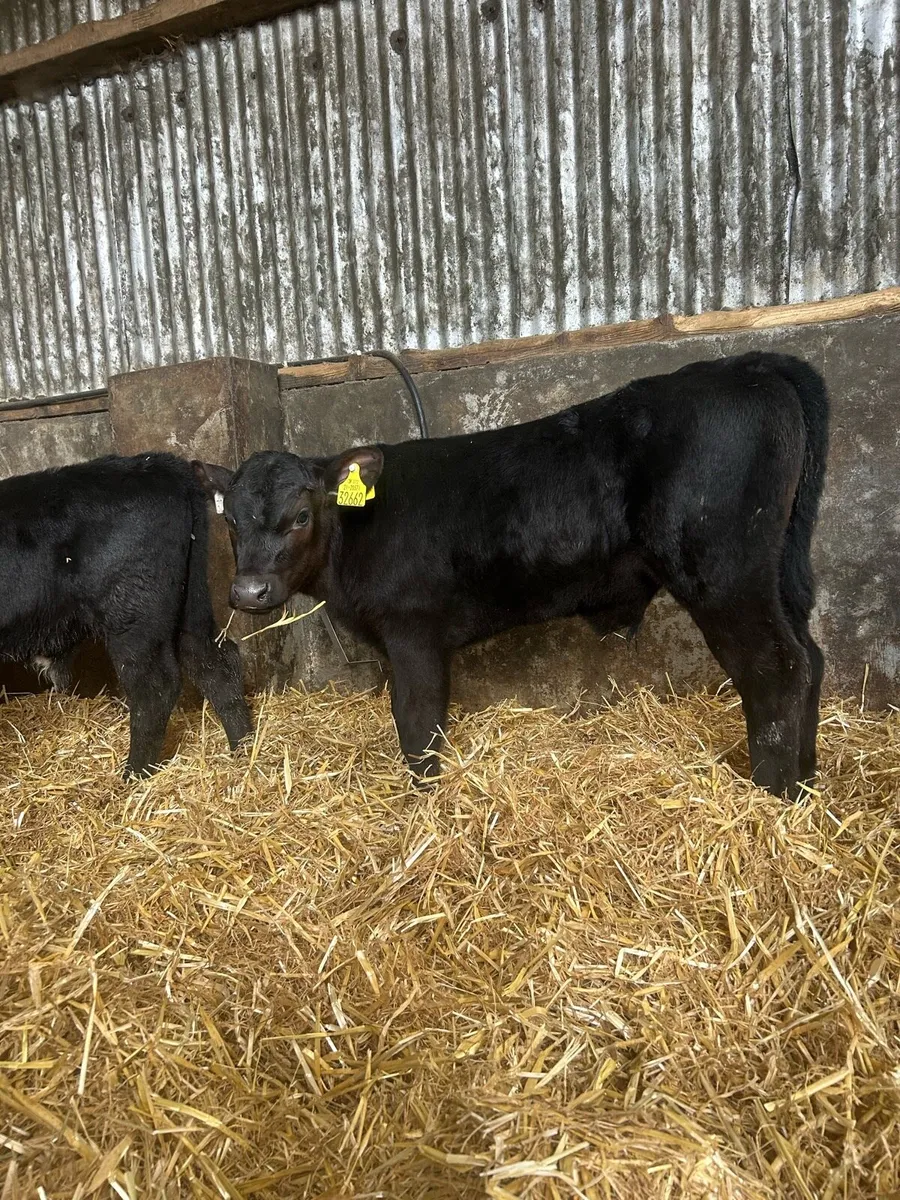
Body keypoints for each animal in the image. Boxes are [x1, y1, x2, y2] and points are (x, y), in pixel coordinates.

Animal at [0, 452, 253, 777]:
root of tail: (159, 465)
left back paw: (135, 773)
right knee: (213, 661)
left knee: (153, 685)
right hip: (191, 598)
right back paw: (243, 747)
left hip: (133, 611)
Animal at [195, 353, 829, 800]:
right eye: (230, 519)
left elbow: (417, 721)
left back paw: (771, 795)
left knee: (775, 669)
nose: (248, 592)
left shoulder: (413, 632)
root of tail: (748, 365)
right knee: (810, 659)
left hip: (725, 574)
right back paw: (804, 783)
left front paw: (423, 802)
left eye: (302, 515)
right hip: (778, 572)